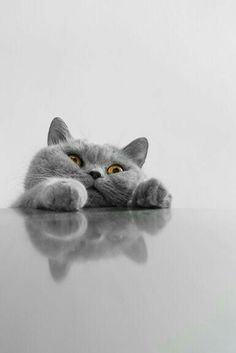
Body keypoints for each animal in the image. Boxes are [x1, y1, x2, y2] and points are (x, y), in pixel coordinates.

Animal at [12, 118, 171, 210]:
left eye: (116, 170)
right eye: (74, 159)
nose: (95, 173)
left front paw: (152, 191)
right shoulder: (19, 202)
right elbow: (34, 192)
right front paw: (66, 188)